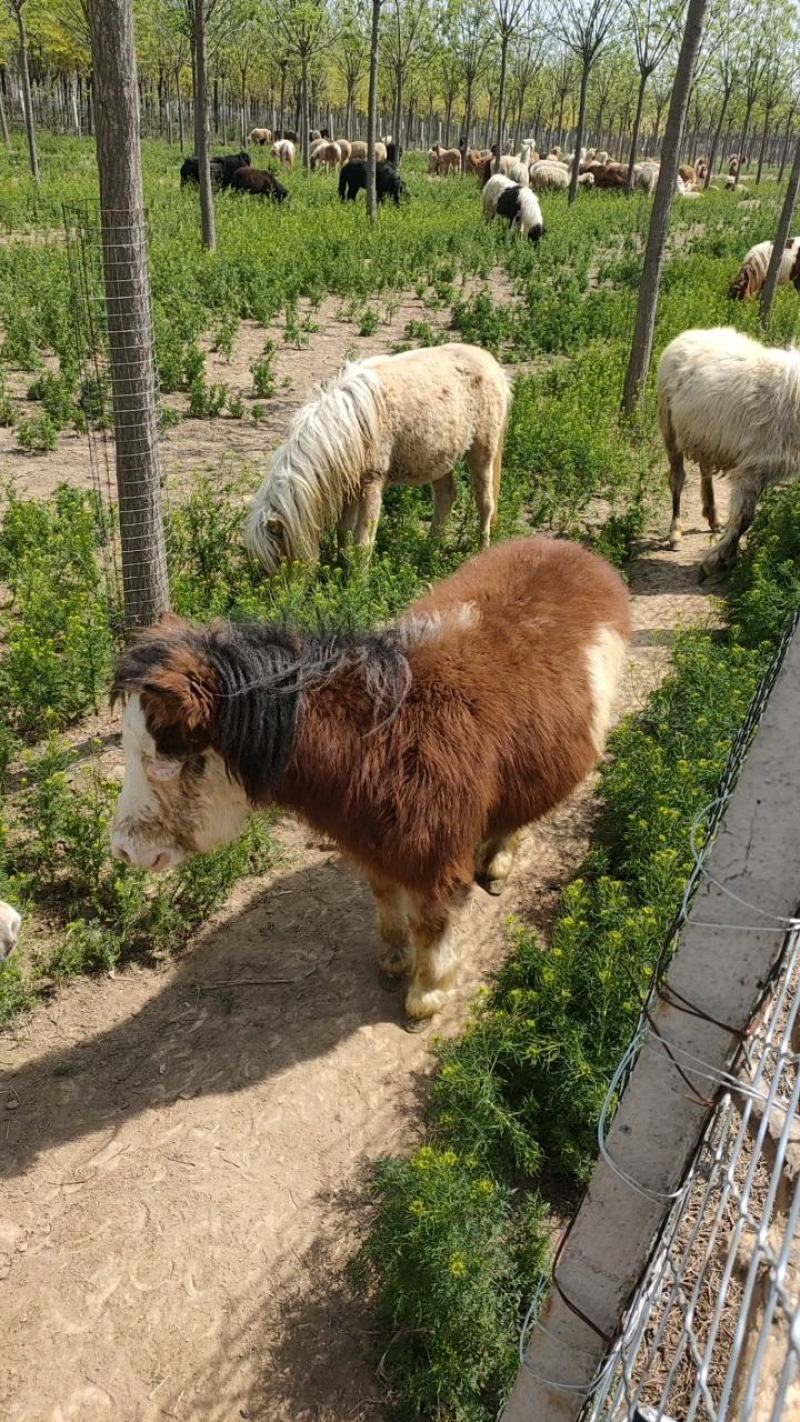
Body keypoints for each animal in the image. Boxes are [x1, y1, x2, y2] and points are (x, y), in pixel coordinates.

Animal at [110, 537, 631, 1028]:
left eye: (164, 761)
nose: (125, 853)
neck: (385, 738)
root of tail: (574, 552)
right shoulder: (375, 842)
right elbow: (386, 898)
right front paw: (394, 959)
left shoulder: (434, 856)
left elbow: (431, 923)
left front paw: (426, 996)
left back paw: (499, 862)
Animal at [244, 343, 511, 575]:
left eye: (279, 558)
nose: (283, 597)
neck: (347, 427)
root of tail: (492, 364)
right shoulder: (350, 487)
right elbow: (343, 532)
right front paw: (343, 568)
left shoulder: (372, 484)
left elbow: (363, 541)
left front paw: (357, 583)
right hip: (442, 459)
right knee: (446, 497)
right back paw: (428, 551)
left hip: (483, 451)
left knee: (485, 502)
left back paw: (482, 550)